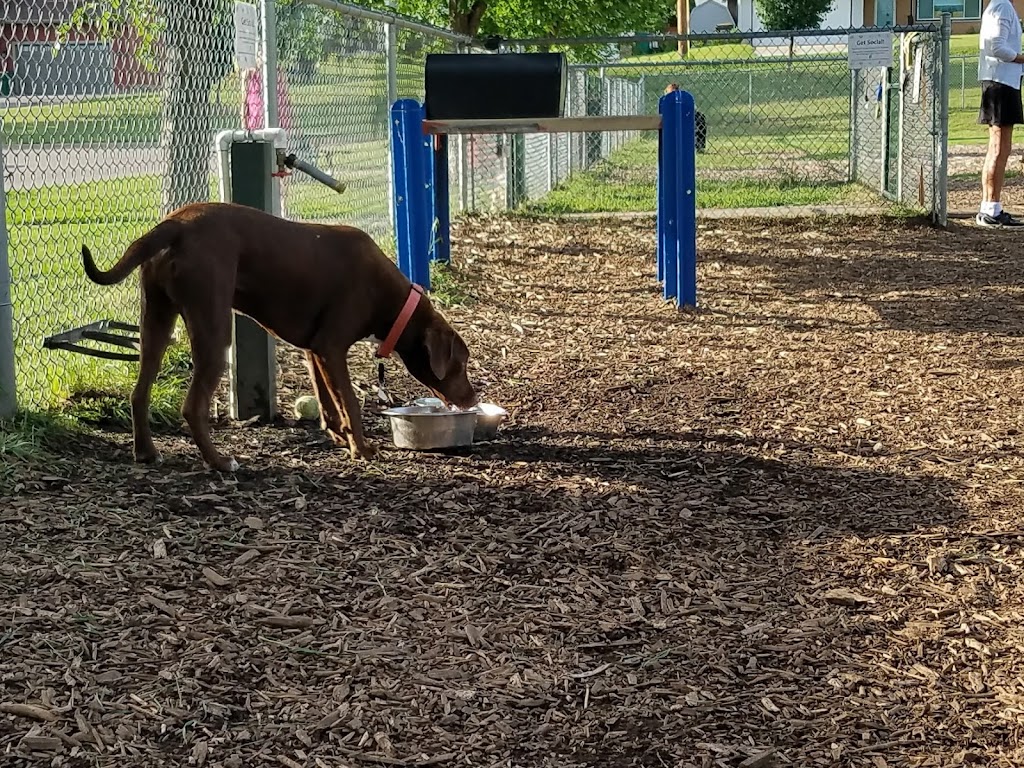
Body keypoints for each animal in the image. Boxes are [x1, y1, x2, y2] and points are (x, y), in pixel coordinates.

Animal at [81, 201, 477, 473]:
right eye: (461, 363)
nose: (473, 399)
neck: (394, 302)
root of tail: (174, 225)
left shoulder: (315, 351)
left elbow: (329, 402)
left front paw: (339, 436)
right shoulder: (332, 347)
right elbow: (350, 401)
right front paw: (361, 448)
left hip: (156, 322)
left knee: (139, 392)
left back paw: (146, 452)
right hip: (213, 330)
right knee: (192, 406)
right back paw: (220, 462)